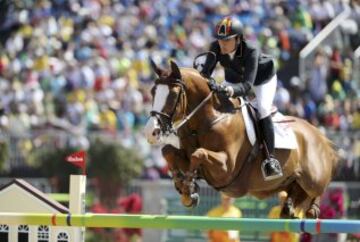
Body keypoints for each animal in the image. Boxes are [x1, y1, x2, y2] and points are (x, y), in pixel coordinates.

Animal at [143, 59, 338, 218]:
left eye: (173, 95)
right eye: (153, 91)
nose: (150, 132)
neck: (210, 118)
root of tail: (321, 137)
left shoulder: (226, 168)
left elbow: (199, 154)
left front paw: (189, 188)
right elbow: (168, 151)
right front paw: (182, 185)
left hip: (314, 179)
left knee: (320, 188)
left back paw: (313, 209)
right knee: (293, 199)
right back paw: (290, 207)